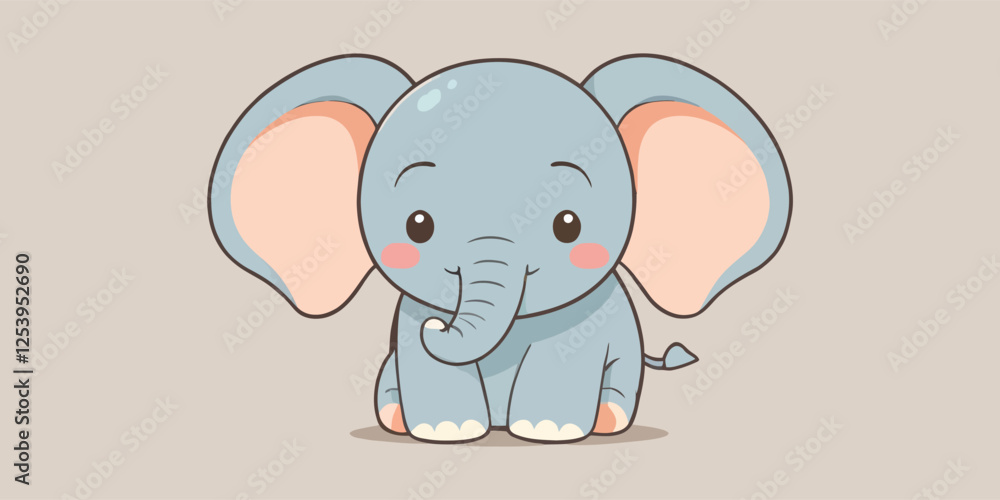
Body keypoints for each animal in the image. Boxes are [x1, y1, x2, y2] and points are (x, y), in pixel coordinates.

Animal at [208, 54, 791, 444]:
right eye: (418, 226)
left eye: (568, 225)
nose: (438, 325)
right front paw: (447, 431)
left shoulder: (582, 322)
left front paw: (548, 430)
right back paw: (398, 420)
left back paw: (602, 422)